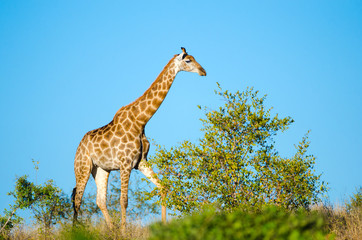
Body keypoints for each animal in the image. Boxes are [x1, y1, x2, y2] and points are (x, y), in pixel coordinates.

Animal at [72, 47, 206, 229]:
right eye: (188, 60)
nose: (203, 71)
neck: (141, 121)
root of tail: (79, 146)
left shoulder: (140, 162)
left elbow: (163, 187)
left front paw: (163, 226)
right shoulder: (125, 163)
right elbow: (124, 200)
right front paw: (124, 231)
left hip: (100, 169)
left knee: (100, 201)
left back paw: (111, 230)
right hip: (83, 167)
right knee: (77, 200)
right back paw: (75, 230)